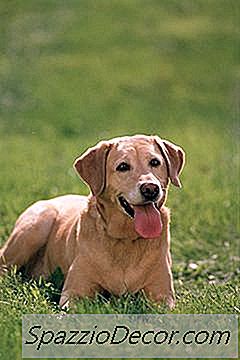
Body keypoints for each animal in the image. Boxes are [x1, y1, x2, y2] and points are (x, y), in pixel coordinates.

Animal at [0, 134, 186, 308]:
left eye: (155, 162)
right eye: (123, 167)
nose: (151, 189)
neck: (125, 239)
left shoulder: (162, 295)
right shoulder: (73, 293)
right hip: (36, 225)